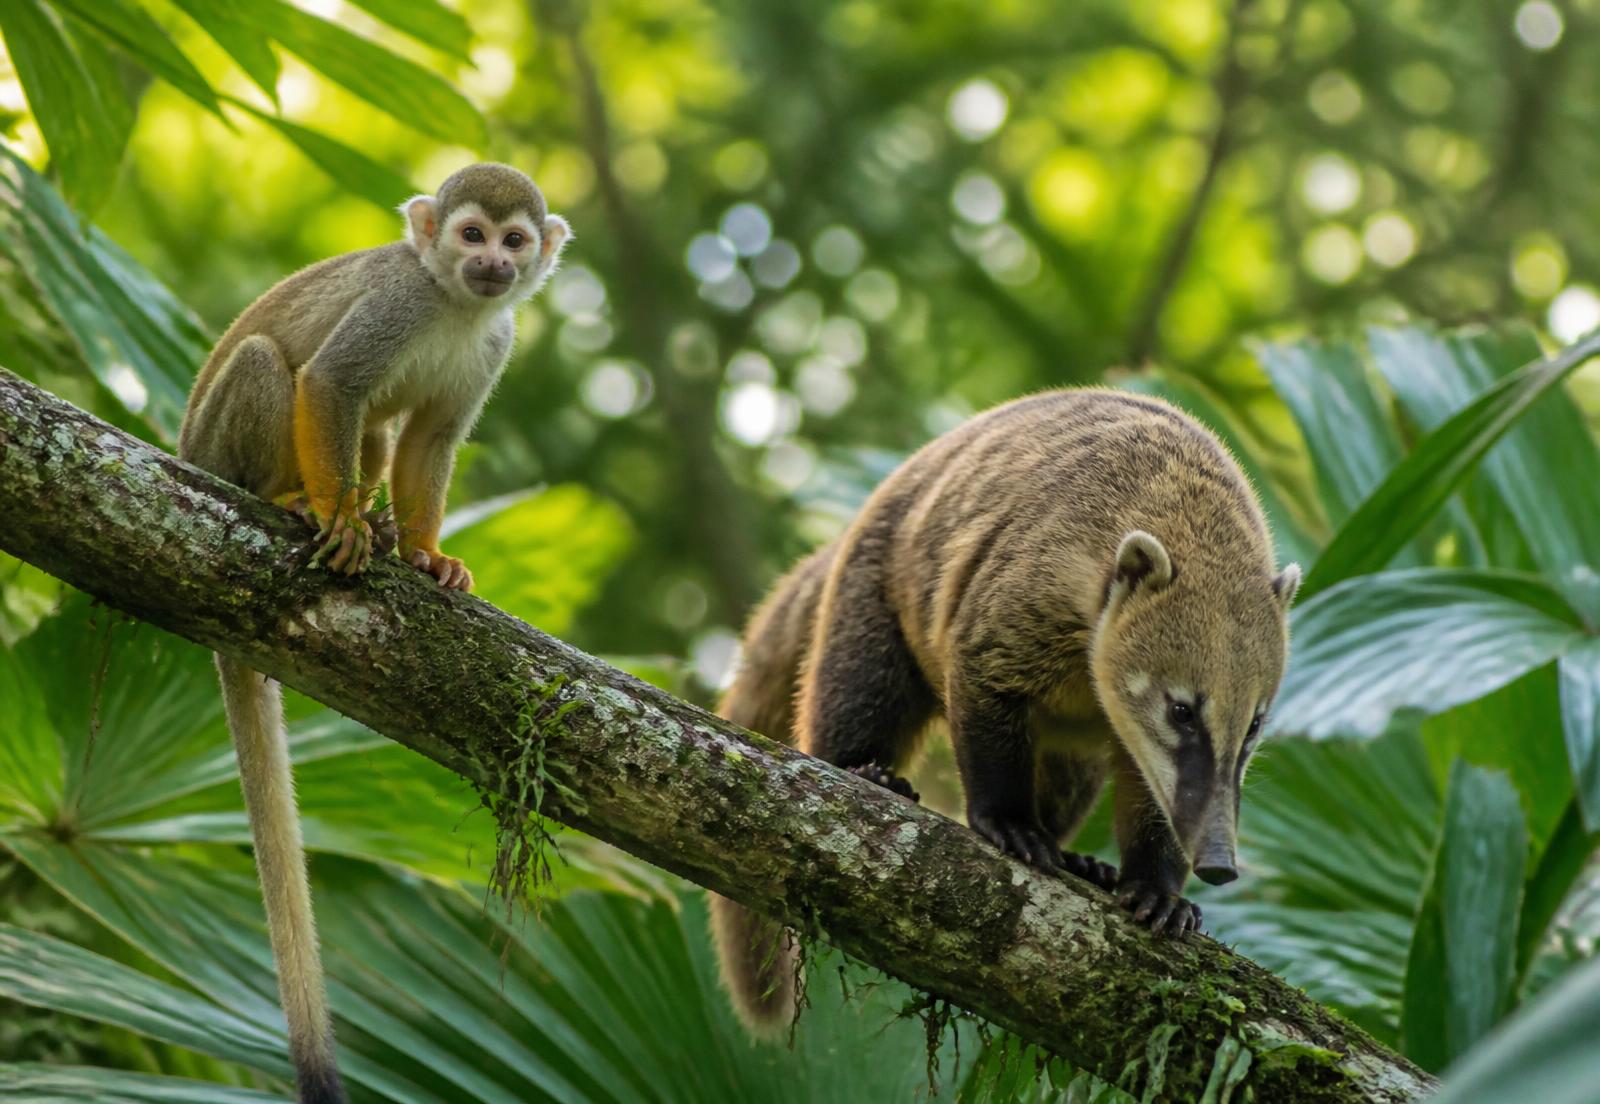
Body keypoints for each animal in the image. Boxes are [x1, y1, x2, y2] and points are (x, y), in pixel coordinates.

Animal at [177, 162, 570, 1102]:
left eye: (515, 241)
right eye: (471, 235)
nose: (495, 266)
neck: (453, 304)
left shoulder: (496, 340)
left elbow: (430, 437)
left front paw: (428, 555)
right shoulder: (396, 301)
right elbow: (330, 386)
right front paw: (335, 517)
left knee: (388, 429)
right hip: (212, 447)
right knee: (271, 365)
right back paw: (293, 499)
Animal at [709, 388, 1300, 1035]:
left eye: (1254, 725)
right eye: (1182, 710)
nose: (1219, 865)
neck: (1193, 526)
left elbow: (1150, 785)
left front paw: (1158, 884)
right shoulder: (1027, 581)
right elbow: (982, 679)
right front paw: (1009, 819)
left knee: (1072, 772)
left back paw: (1076, 856)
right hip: (874, 582)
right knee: (859, 685)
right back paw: (862, 767)